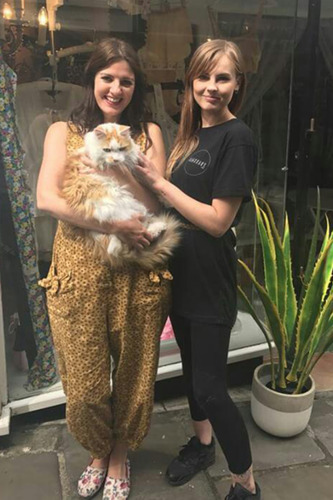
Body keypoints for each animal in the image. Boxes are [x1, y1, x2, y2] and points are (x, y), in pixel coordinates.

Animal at [61, 123, 179, 268]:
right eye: (107, 150)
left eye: (122, 148)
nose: (116, 159)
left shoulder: (138, 170)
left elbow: (153, 185)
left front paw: (167, 199)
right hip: (119, 204)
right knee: (119, 245)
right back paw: (159, 227)